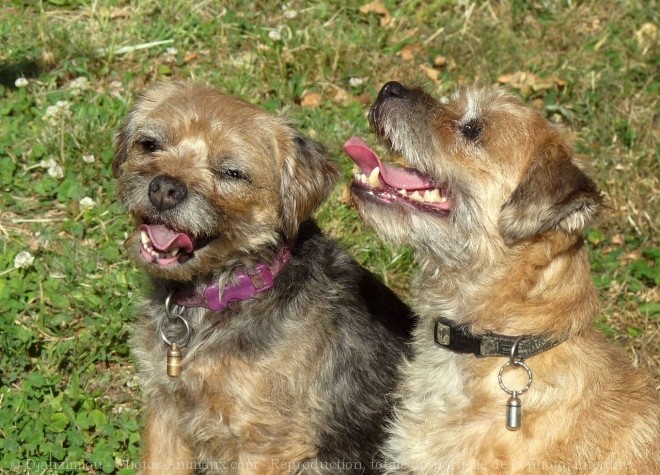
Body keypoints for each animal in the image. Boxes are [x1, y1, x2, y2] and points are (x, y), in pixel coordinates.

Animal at [113, 82, 412, 472]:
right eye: (150, 144)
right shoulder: (166, 411)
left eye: (232, 173)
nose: (164, 188)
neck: (224, 292)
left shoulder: (266, 443)